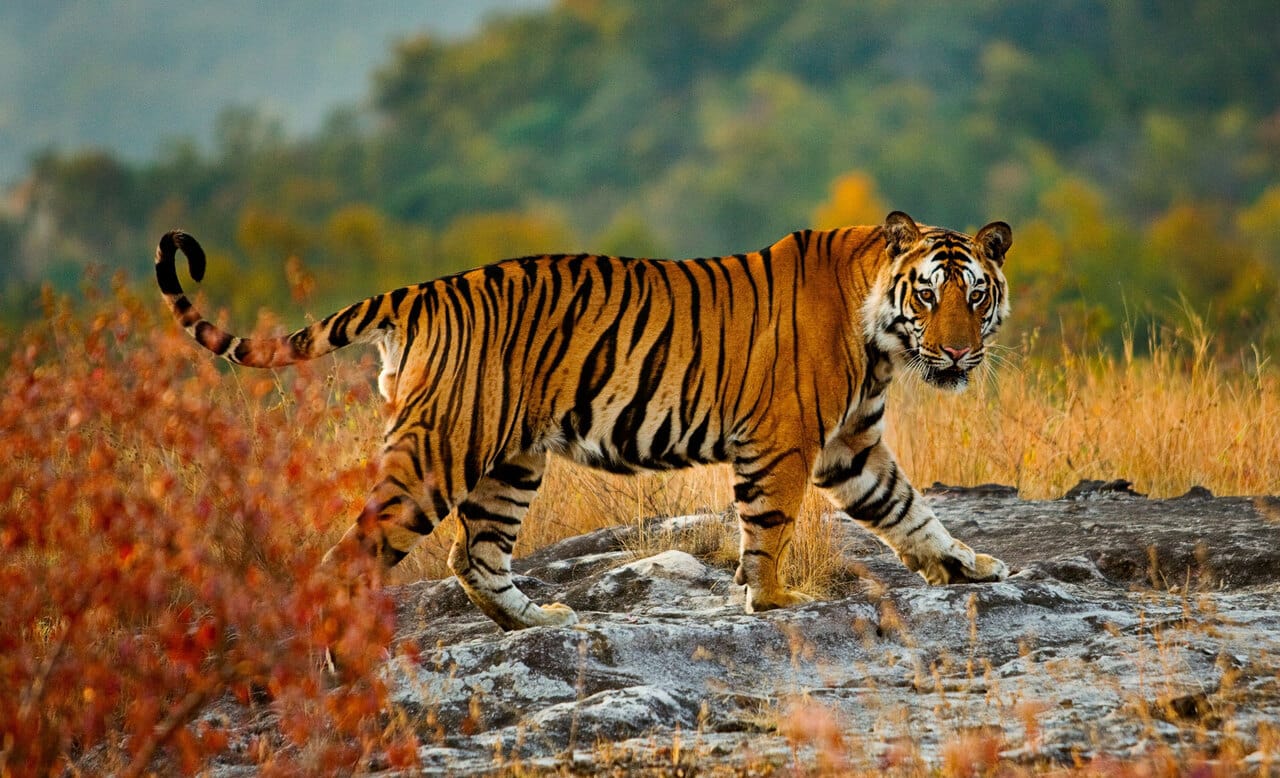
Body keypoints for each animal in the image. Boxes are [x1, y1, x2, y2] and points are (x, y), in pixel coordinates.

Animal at [152, 209, 1008, 629]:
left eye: (977, 294)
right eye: (930, 293)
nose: (959, 354)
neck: (882, 339)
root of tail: (421, 291)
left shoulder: (851, 445)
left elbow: (908, 509)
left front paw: (968, 566)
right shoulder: (784, 442)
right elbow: (768, 529)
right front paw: (771, 603)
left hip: (508, 460)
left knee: (474, 555)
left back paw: (538, 621)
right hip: (439, 452)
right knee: (352, 555)